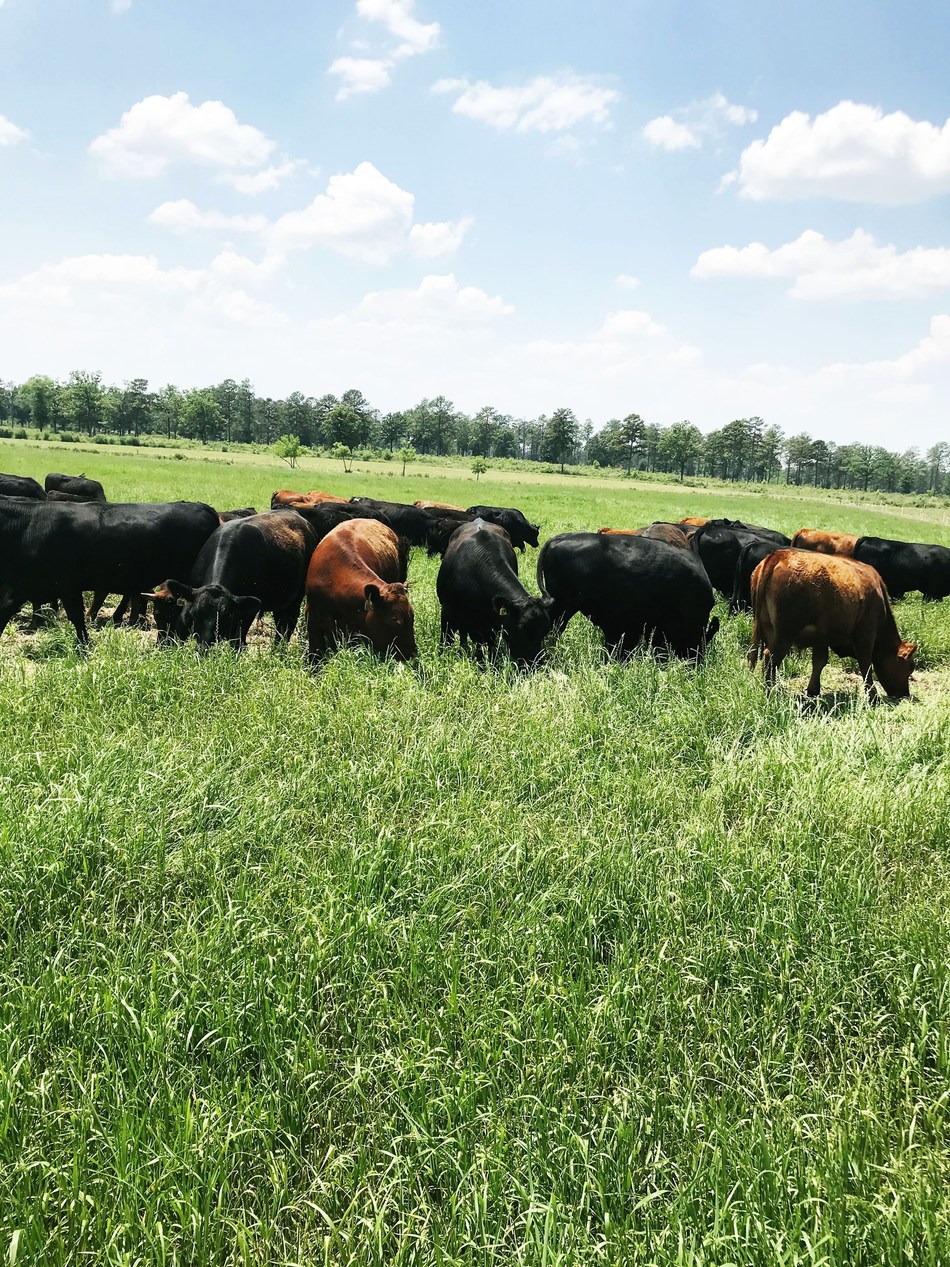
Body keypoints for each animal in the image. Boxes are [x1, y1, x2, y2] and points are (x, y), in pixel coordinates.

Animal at [0, 500, 219, 645]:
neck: (28, 526)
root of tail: (204, 507)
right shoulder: (22, 585)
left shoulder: (66, 584)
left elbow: (76, 616)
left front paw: (84, 645)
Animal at [146, 510, 317, 648]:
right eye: (196, 615)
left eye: (225, 619)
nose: (204, 648)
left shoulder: (247, 611)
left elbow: (238, 640)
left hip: (296, 597)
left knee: (287, 625)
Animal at [437, 520, 550, 666]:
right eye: (522, 629)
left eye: (545, 631)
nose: (534, 663)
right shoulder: (446, 615)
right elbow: (446, 642)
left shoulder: (490, 625)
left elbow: (485, 648)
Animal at [748, 550, 916, 701]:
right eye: (909, 668)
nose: (904, 694)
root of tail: (779, 554)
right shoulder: (866, 633)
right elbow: (866, 664)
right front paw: (872, 696)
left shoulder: (821, 637)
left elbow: (819, 661)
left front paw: (813, 690)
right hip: (786, 634)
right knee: (770, 657)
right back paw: (772, 692)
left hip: (768, 630)